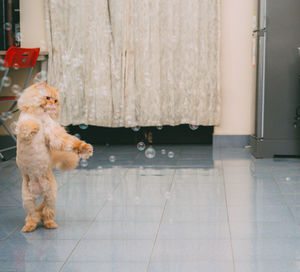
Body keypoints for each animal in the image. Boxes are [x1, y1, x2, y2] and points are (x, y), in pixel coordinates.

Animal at [14, 81, 92, 232]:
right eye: (48, 98)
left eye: (56, 100)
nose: (53, 104)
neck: (40, 116)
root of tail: (39, 191)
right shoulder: (22, 125)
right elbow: (28, 125)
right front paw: (35, 128)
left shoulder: (55, 134)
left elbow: (70, 142)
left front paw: (84, 149)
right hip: (27, 200)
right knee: (33, 215)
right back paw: (29, 227)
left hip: (51, 196)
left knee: (45, 213)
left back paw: (50, 225)